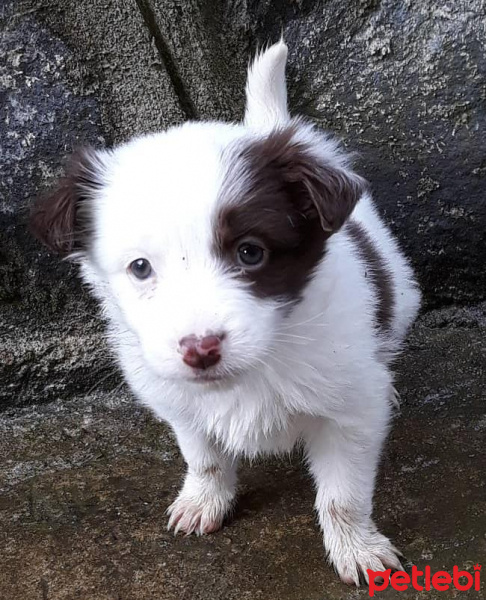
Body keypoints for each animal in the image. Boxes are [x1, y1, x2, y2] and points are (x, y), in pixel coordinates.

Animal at [30, 39, 420, 584]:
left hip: (400, 293)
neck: (258, 365)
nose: (201, 350)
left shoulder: (351, 412)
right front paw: (204, 501)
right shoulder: (180, 403)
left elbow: (343, 495)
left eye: (250, 253)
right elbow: (205, 458)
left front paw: (356, 548)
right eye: (140, 268)